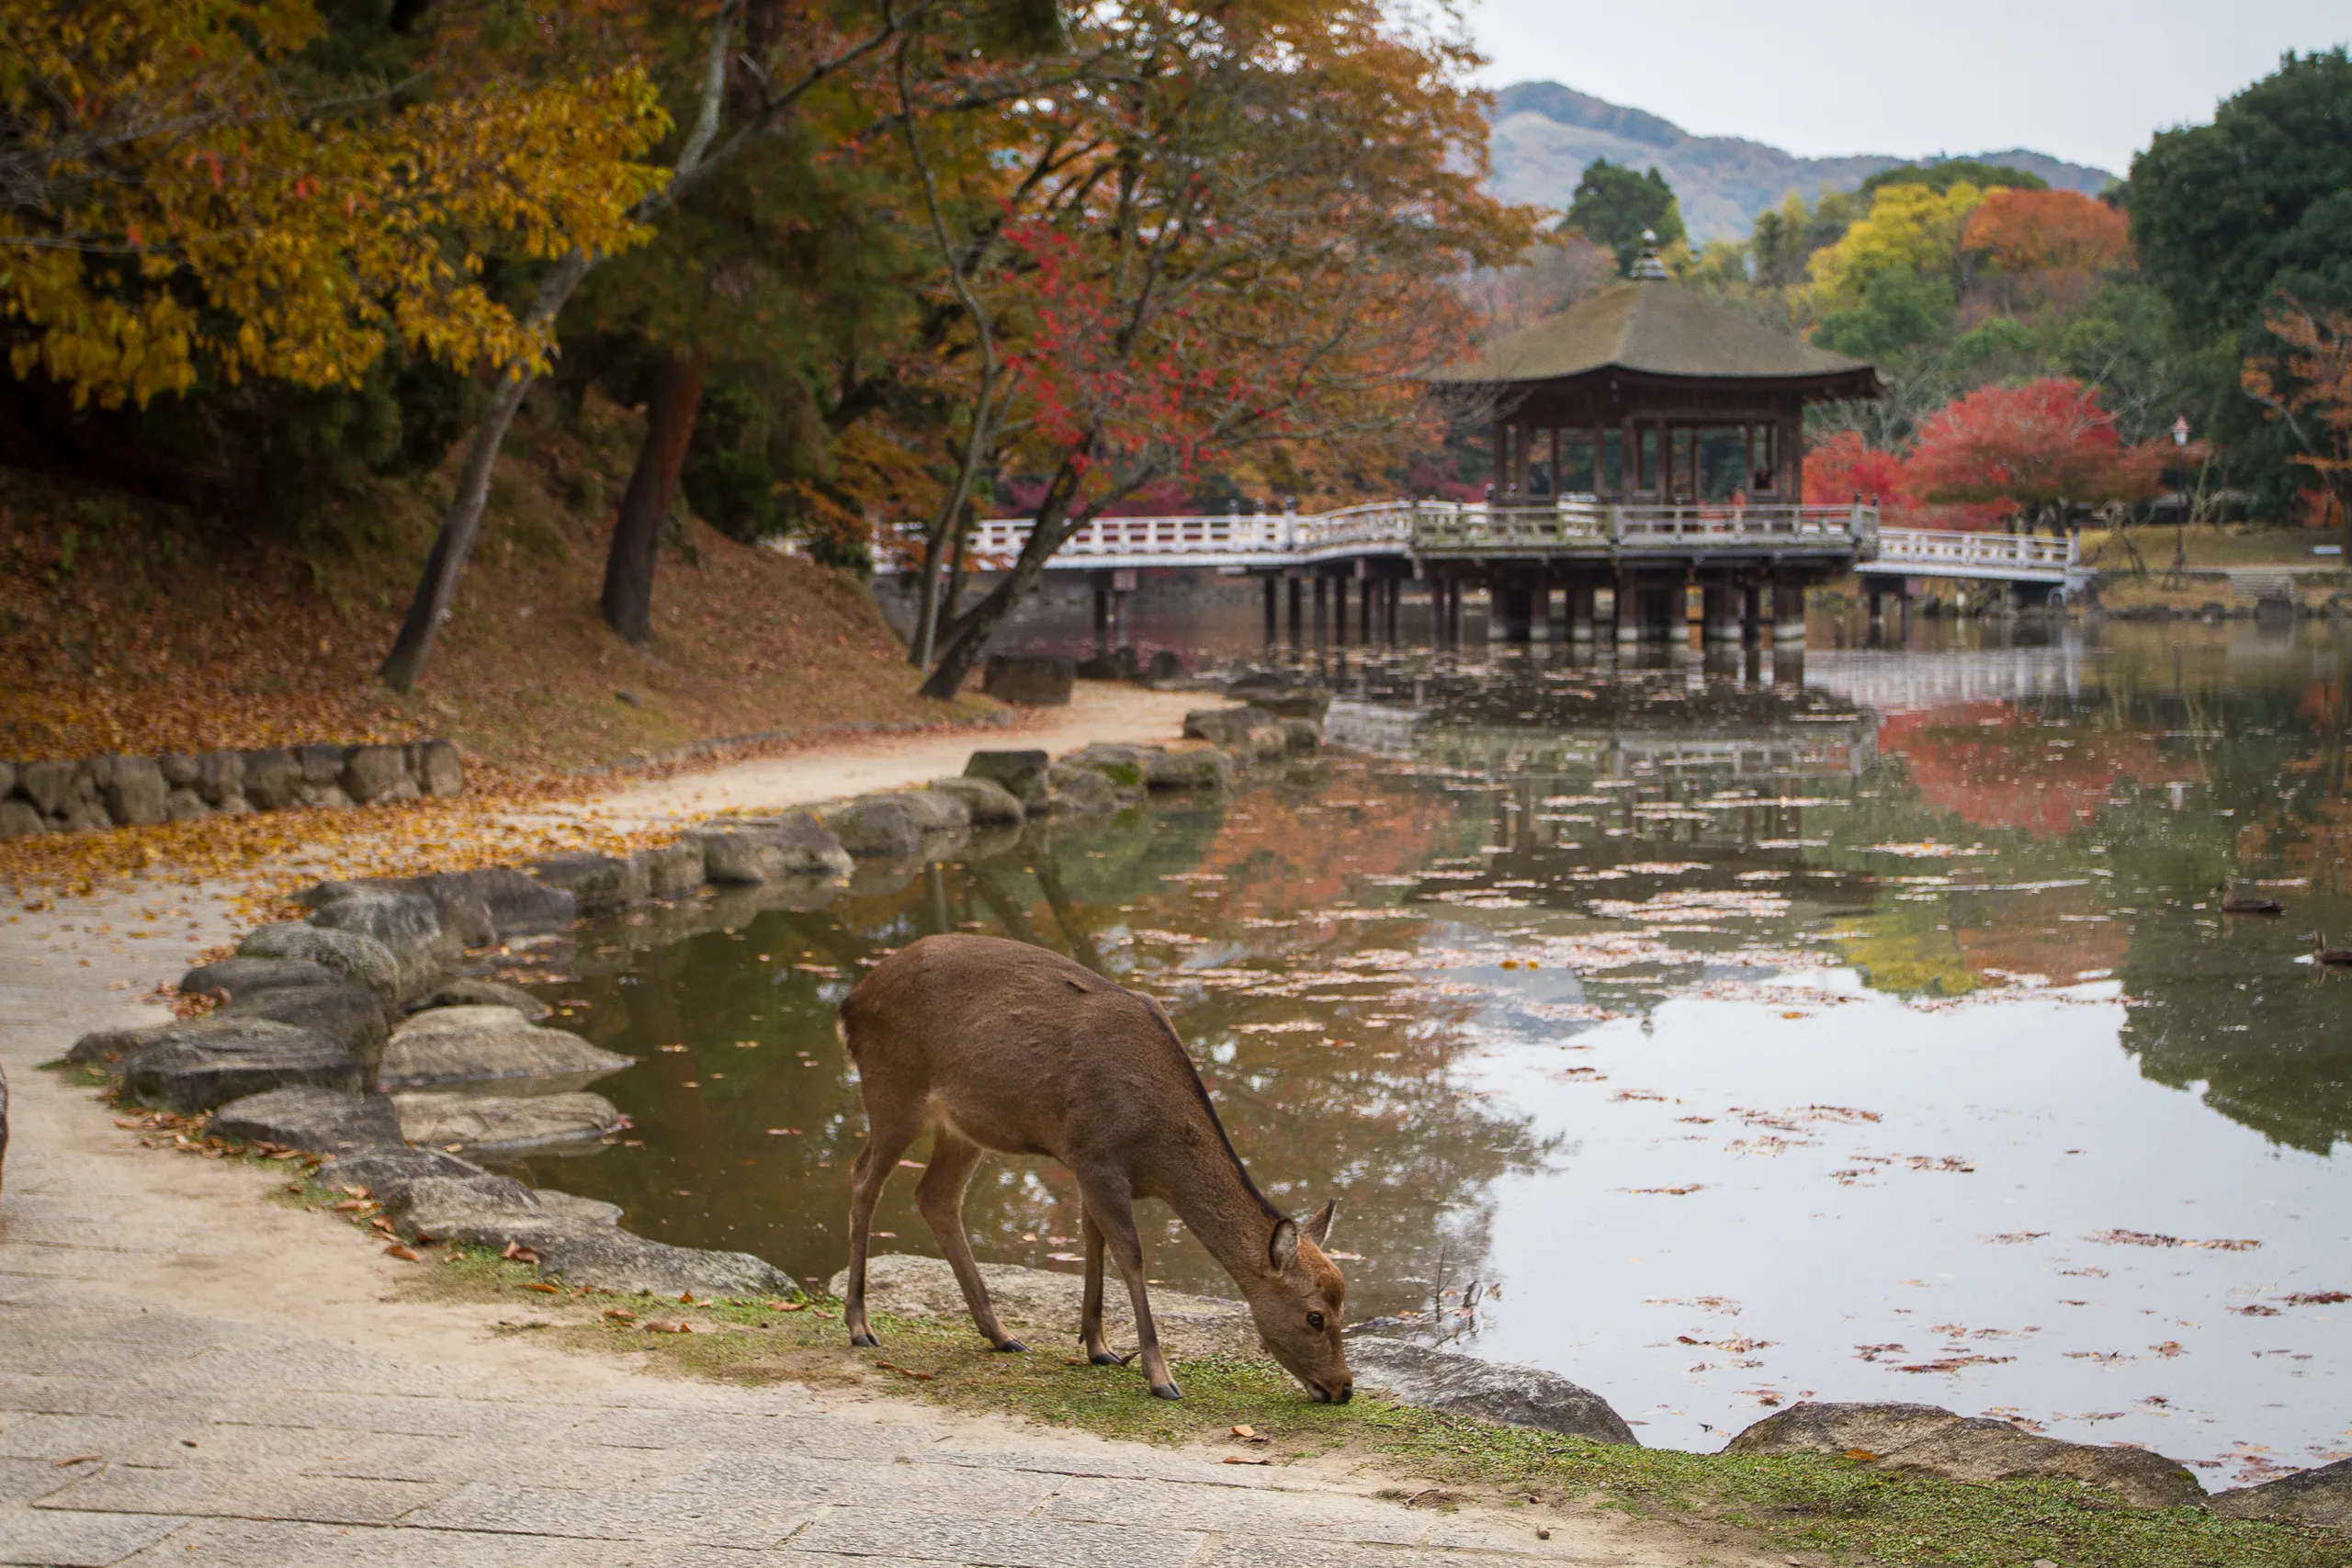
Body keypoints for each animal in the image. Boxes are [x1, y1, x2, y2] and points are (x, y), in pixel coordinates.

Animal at [836, 933, 1352, 1403]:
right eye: (1315, 1316)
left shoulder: (1086, 1164)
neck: (1156, 1154)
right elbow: (1131, 1254)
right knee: (863, 1178)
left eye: (1344, 1305)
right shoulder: (1098, 1157)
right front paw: (1160, 1377)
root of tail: (849, 1003)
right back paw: (860, 1326)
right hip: (893, 1088)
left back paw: (1001, 1334)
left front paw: (1099, 1347)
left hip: (962, 1126)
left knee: (936, 1196)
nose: (1343, 1388)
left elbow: (1093, 1241)